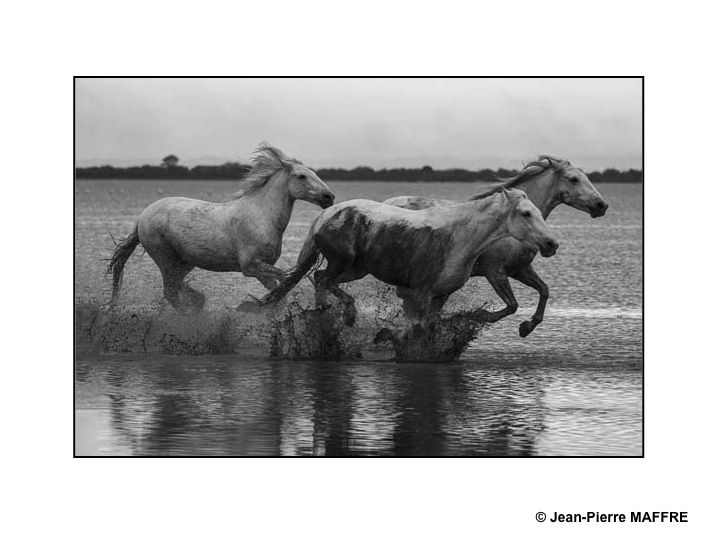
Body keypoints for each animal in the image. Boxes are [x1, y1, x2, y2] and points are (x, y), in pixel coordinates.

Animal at [105, 144, 336, 312]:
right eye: (301, 176)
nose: (329, 197)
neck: (262, 216)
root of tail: (142, 216)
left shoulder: (262, 269)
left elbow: (279, 289)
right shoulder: (250, 266)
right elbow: (284, 279)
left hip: (185, 261)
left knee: (176, 286)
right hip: (164, 257)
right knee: (170, 291)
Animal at [256, 188, 560, 326]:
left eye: (539, 211)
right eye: (525, 213)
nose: (552, 244)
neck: (461, 238)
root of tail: (324, 215)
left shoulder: (440, 294)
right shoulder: (422, 292)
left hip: (357, 268)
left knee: (320, 278)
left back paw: (327, 312)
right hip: (342, 261)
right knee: (322, 278)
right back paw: (344, 314)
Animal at [382, 154, 608, 336]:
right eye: (574, 179)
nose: (602, 205)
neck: (508, 227)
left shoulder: (519, 269)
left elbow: (544, 291)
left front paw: (527, 327)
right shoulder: (495, 271)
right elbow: (512, 305)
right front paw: (476, 316)